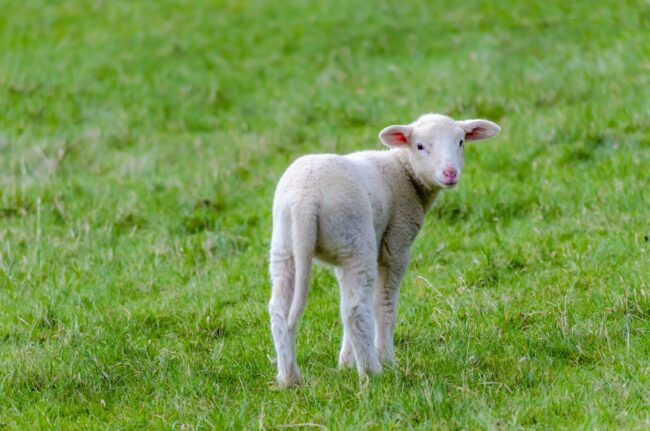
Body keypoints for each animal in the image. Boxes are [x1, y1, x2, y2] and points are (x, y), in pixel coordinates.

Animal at [268, 113, 501, 387]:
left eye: (461, 142)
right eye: (420, 146)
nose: (450, 172)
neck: (404, 172)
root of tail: (305, 198)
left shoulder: (340, 257)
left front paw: (346, 362)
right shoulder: (397, 243)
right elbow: (384, 304)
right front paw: (386, 359)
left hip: (287, 244)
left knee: (280, 308)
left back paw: (289, 378)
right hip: (356, 239)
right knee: (356, 309)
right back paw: (372, 372)